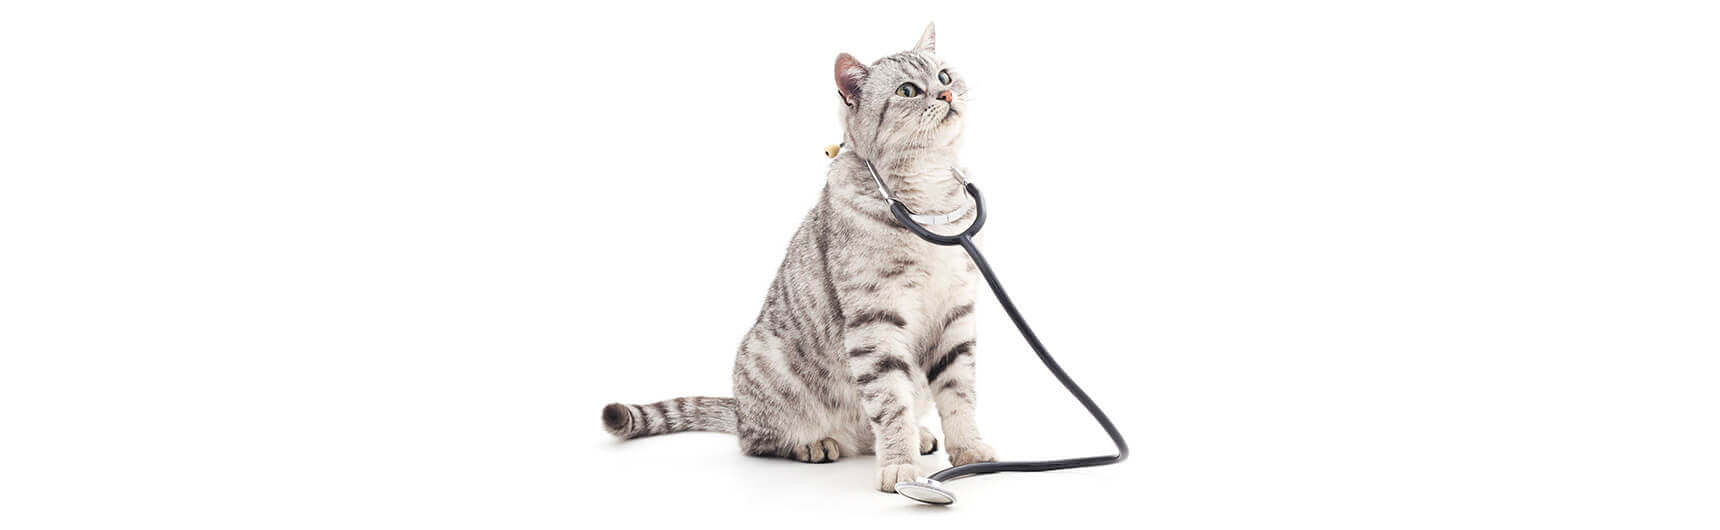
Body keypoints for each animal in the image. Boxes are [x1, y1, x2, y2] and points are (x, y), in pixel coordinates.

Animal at [601, 23, 996, 493]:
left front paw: (969, 448)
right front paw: (901, 466)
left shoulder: (956, 316)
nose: (947, 94)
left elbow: (959, 393)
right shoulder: (875, 323)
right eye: (907, 90)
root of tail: (738, 409)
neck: (928, 189)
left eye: (944, 76)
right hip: (764, 364)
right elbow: (889, 402)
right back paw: (815, 443)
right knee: (757, 440)